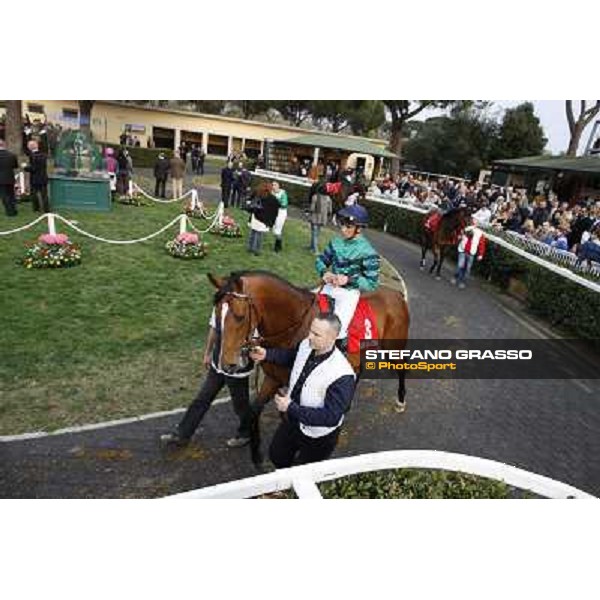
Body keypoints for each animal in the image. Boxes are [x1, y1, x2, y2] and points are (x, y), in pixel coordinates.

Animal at [209, 270, 410, 466]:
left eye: (239, 316)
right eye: (217, 315)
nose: (227, 364)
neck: (293, 325)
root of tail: (397, 295)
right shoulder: (273, 378)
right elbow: (254, 410)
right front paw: (256, 454)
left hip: (393, 348)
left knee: (401, 368)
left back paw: (400, 401)